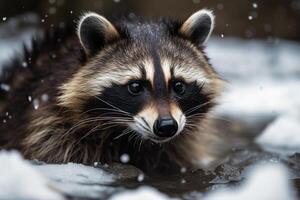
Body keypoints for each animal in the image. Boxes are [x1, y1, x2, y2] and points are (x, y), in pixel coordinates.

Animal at [0, 9, 225, 172]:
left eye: (178, 86)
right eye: (135, 86)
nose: (167, 126)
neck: (130, 138)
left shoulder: (181, 146)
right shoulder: (50, 127)